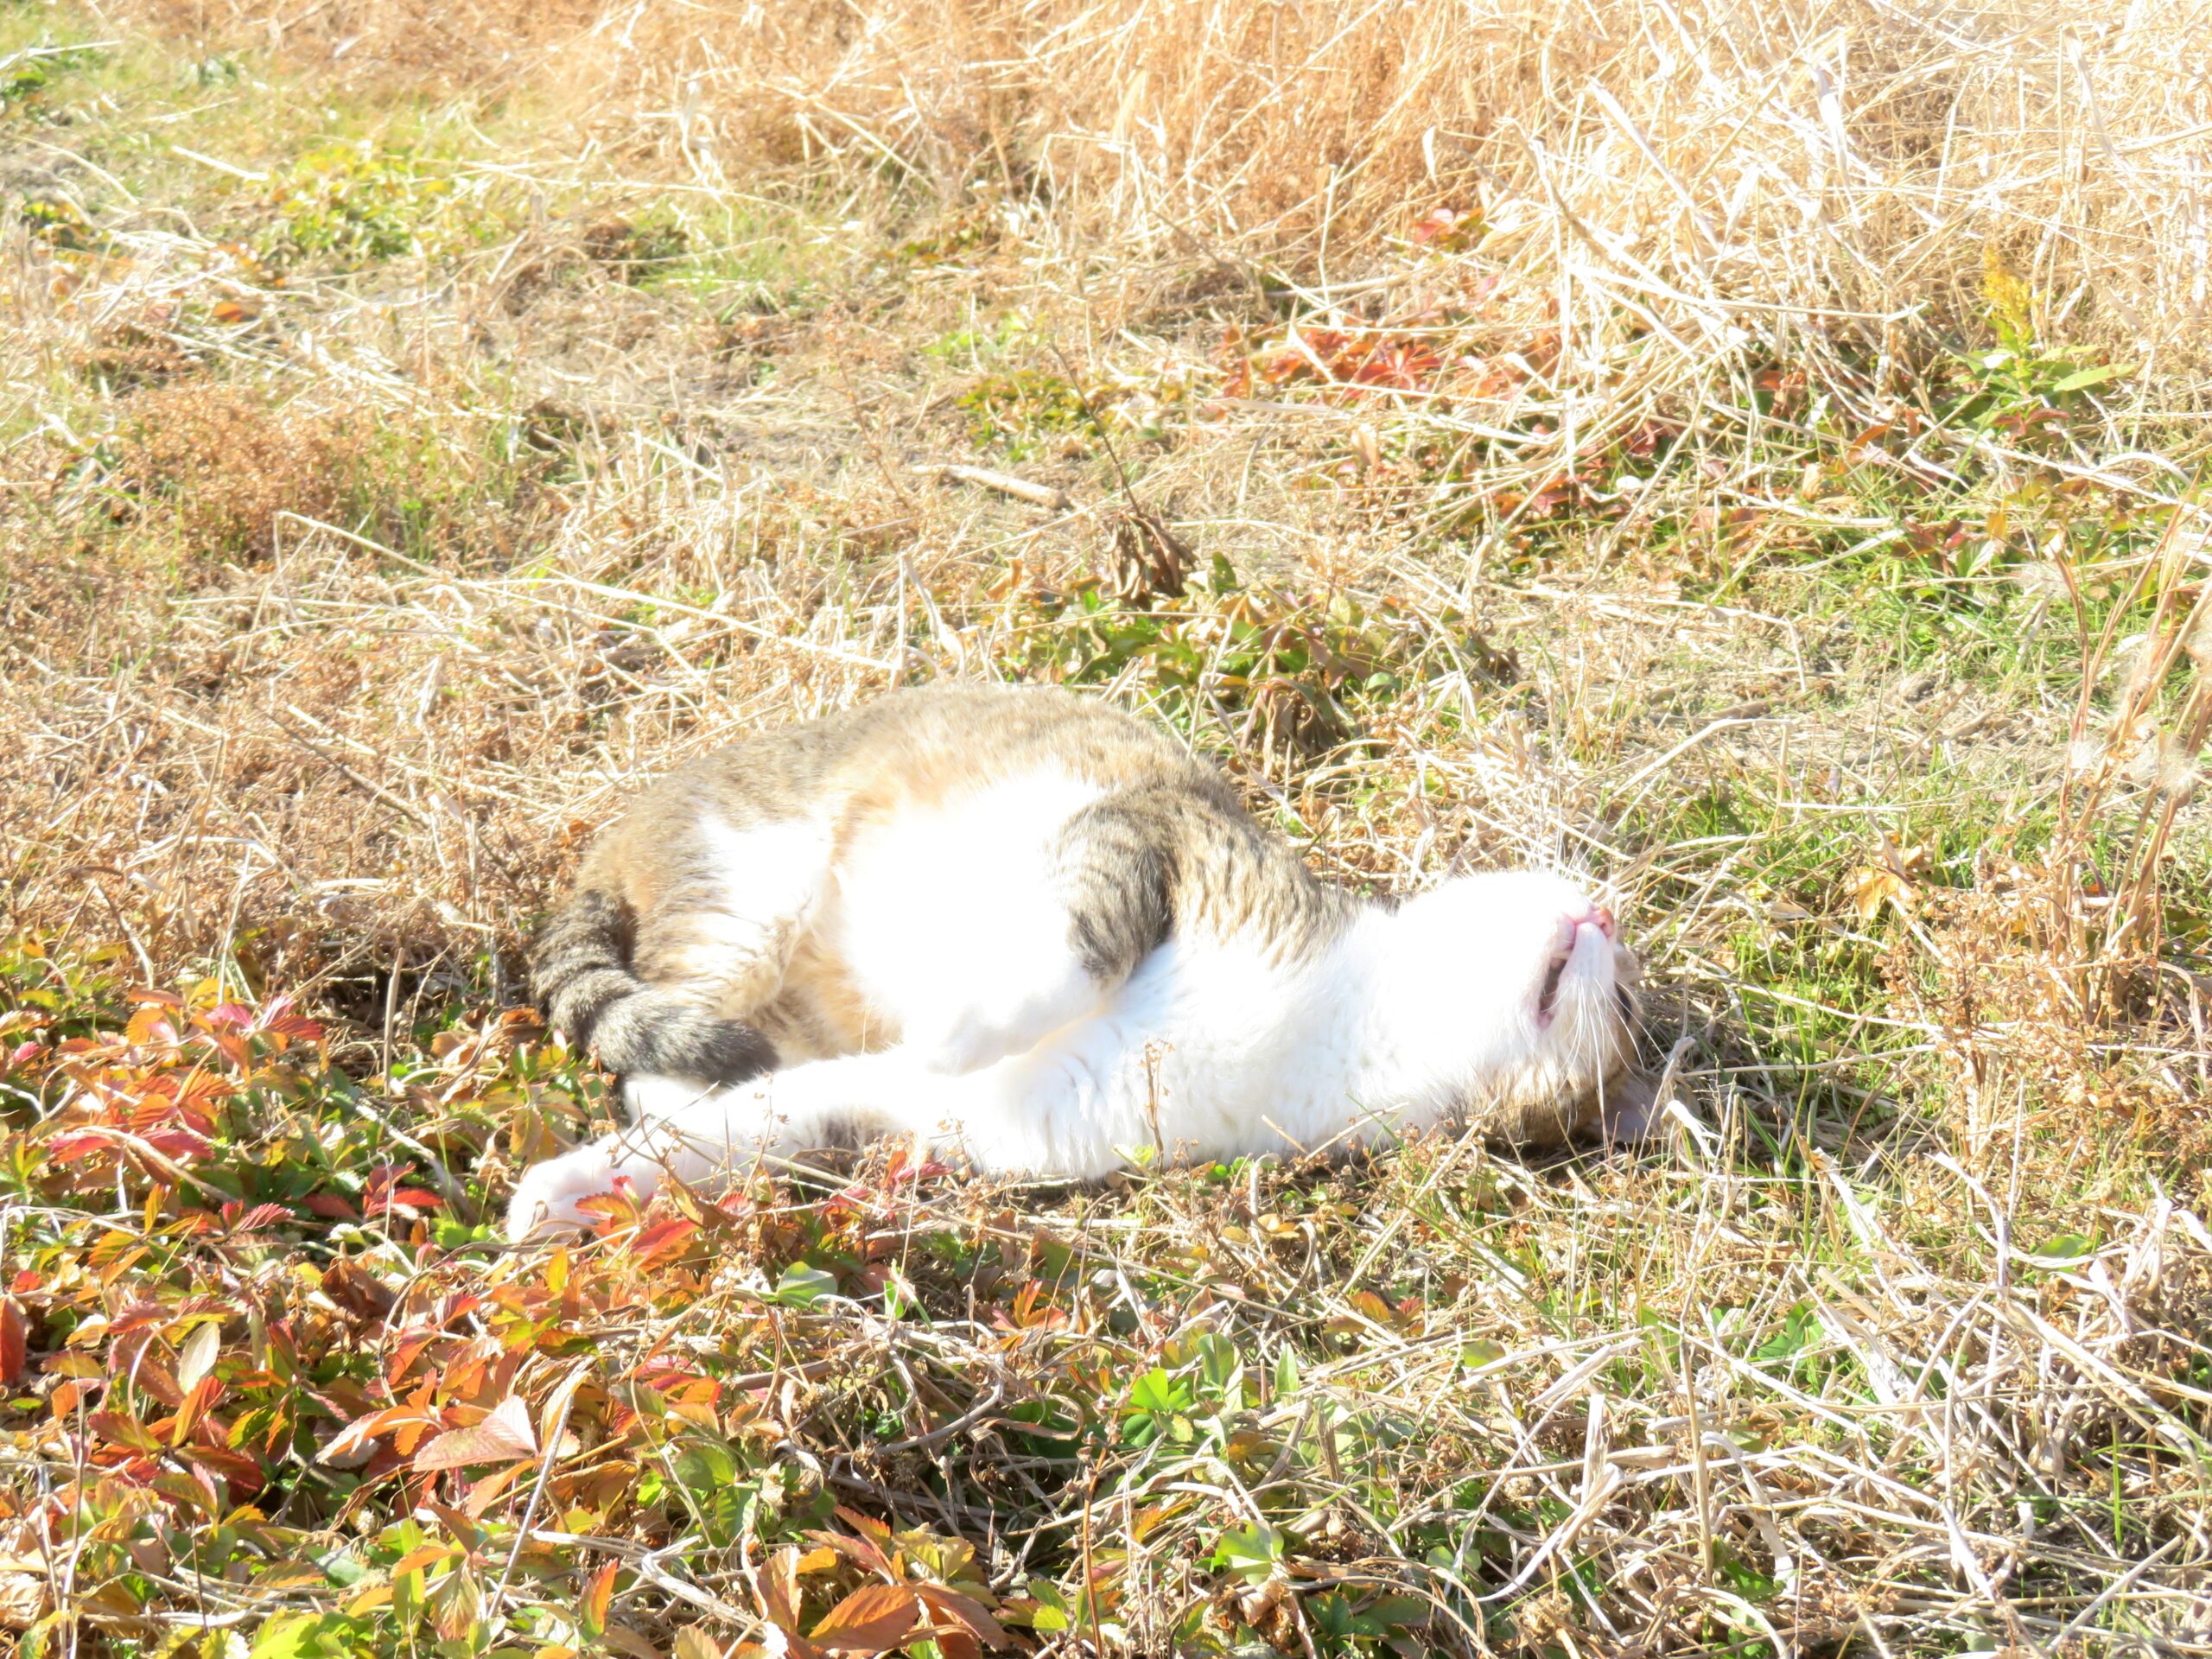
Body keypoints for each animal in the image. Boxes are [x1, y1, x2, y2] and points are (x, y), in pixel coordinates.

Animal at [506, 681, 1645, 1238]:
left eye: (1627, 1014)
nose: (1603, 912)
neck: (1343, 1029)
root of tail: (614, 836)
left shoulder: (920, 1113)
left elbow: (745, 1132)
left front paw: (573, 1194)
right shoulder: (1150, 835)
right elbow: (1072, 955)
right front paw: (958, 1019)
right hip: (750, 901)